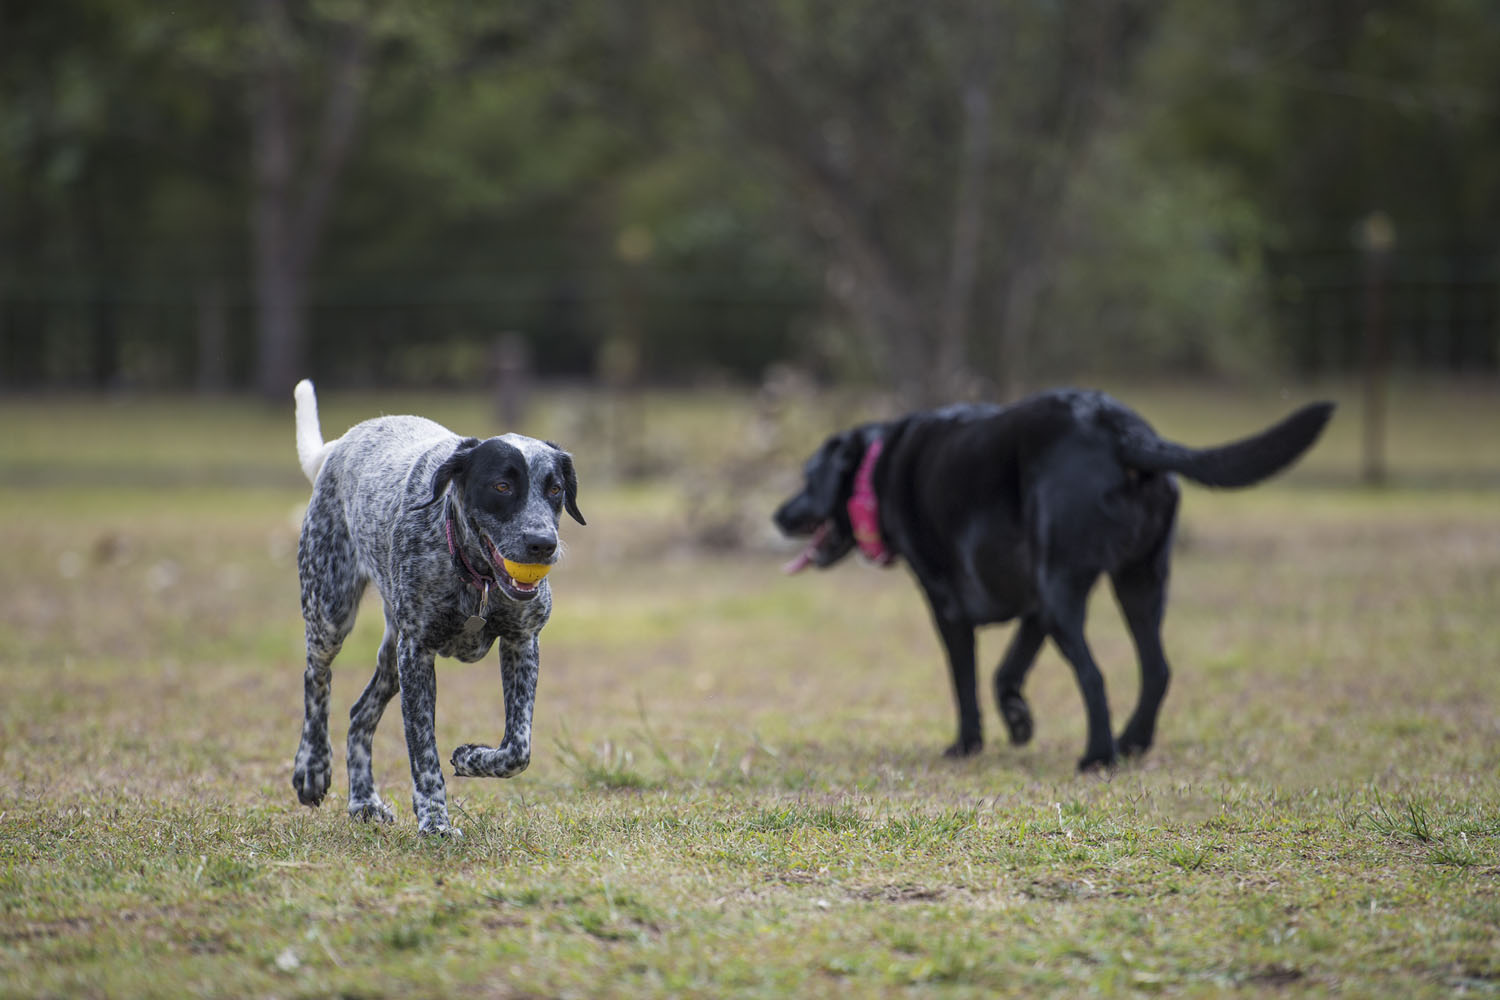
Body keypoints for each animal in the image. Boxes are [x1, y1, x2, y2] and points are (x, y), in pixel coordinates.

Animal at [289, 380, 582, 839]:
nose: (542, 544)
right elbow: (423, 753)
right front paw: (435, 822)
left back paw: (364, 801)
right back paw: (312, 767)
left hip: (391, 656)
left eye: (554, 489)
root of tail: (342, 444)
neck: (476, 577)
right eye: (501, 486)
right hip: (330, 610)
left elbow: (517, 749)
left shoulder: (522, 642)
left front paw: (472, 758)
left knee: (359, 714)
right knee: (316, 679)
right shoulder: (417, 653)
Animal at [774, 386, 1338, 773]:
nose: (778, 516)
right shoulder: (1036, 605)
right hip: (1138, 581)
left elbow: (966, 683)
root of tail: (1120, 429)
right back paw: (1131, 743)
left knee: (1094, 675)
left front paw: (967, 745)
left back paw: (1098, 757)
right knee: (1157, 668)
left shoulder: (951, 607)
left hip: (1068, 592)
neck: (878, 466)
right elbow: (1006, 671)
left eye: (806, 477)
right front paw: (1019, 721)